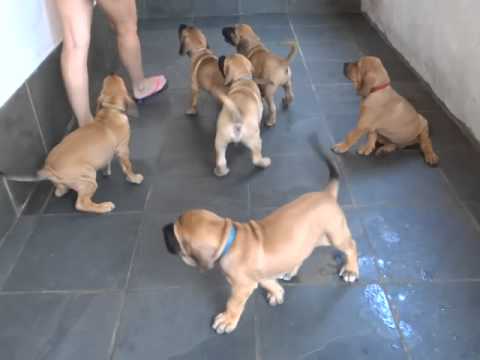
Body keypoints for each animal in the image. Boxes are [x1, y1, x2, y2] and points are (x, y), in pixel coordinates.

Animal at [2, 74, 144, 212]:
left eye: (106, 84)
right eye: (121, 82)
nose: (112, 73)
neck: (110, 110)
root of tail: (48, 168)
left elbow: (107, 160)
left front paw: (106, 170)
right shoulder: (123, 149)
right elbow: (128, 166)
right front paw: (134, 178)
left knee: (59, 192)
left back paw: (64, 190)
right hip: (88, 177)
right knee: (81, 204)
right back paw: (103, 207)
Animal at [163, 153, 358, 334]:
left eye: (174, 235)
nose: (163, 229)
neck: (229, 240)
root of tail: (327, 195)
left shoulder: (241, 287)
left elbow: (233, 303)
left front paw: (227, 320)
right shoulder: (258, 274)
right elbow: (268, 281)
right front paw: (277, 292)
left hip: (334, 235)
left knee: (351, 246)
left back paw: (351, 270)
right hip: (310, 240)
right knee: (302, 254)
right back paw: (290, 270)